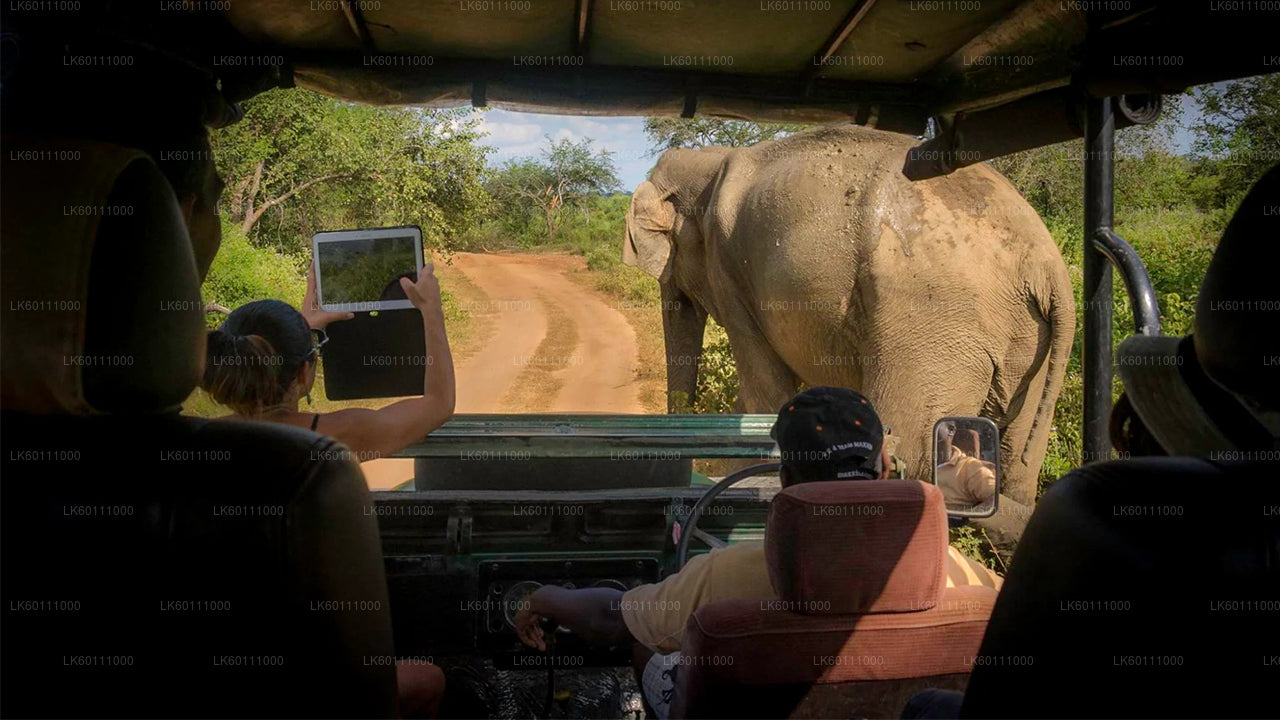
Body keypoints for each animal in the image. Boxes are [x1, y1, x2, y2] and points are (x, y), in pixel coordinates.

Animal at [624, 122, 1075, 504]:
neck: (709, 161)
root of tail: (1048, 266)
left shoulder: (729, 271)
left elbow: (762, 393)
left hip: (934, 323)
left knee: (909, 442)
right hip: (1026, 339)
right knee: (1017, 461)